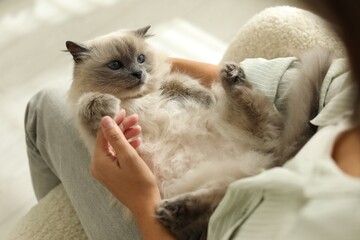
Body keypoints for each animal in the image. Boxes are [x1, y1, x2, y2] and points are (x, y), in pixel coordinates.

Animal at [65, 25, 332, 239]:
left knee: (265, 125)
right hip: (223, 182)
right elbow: (88, 104)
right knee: (214, 206)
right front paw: (106, 106)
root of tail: (270, 161)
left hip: (241, 133)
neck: (136, 99)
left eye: (141, 58)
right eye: (115, 65)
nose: (139, 73)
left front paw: (205, 96)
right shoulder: (93, 129)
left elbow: (183, 83)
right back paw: (174, 212)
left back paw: (232, 77)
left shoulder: (168, 83)